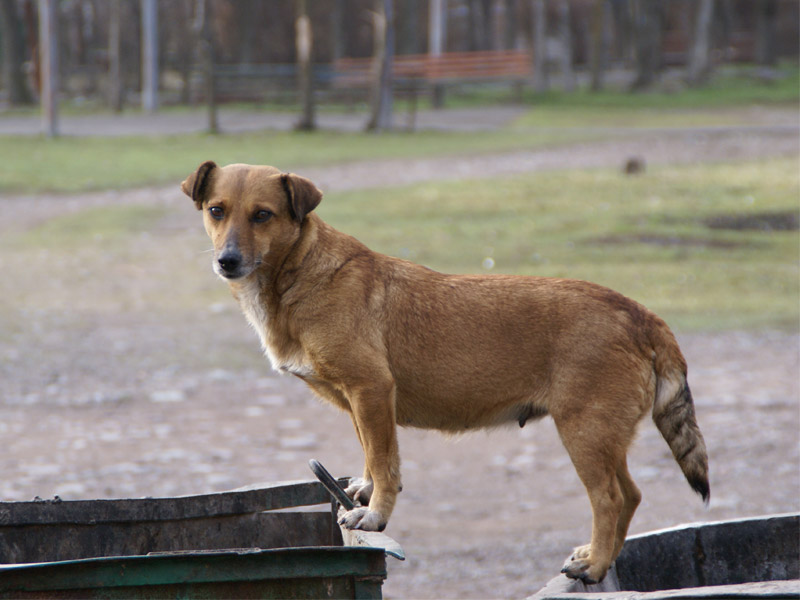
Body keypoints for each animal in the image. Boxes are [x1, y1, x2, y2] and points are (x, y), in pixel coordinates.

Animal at [180, 162, 708, 584]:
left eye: (263, 215)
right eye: (217, 210)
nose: (227, 261)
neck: (298, 272)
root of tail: (638, 313)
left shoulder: (372, 389)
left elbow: (386, 461)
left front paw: (375, 515)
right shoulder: (361, 403)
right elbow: (371, 454)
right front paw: (365, 493)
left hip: (584, 432)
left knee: (610, 499)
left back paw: (595, 565)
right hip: (603, 435)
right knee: (632, 495)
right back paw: (600, 557)